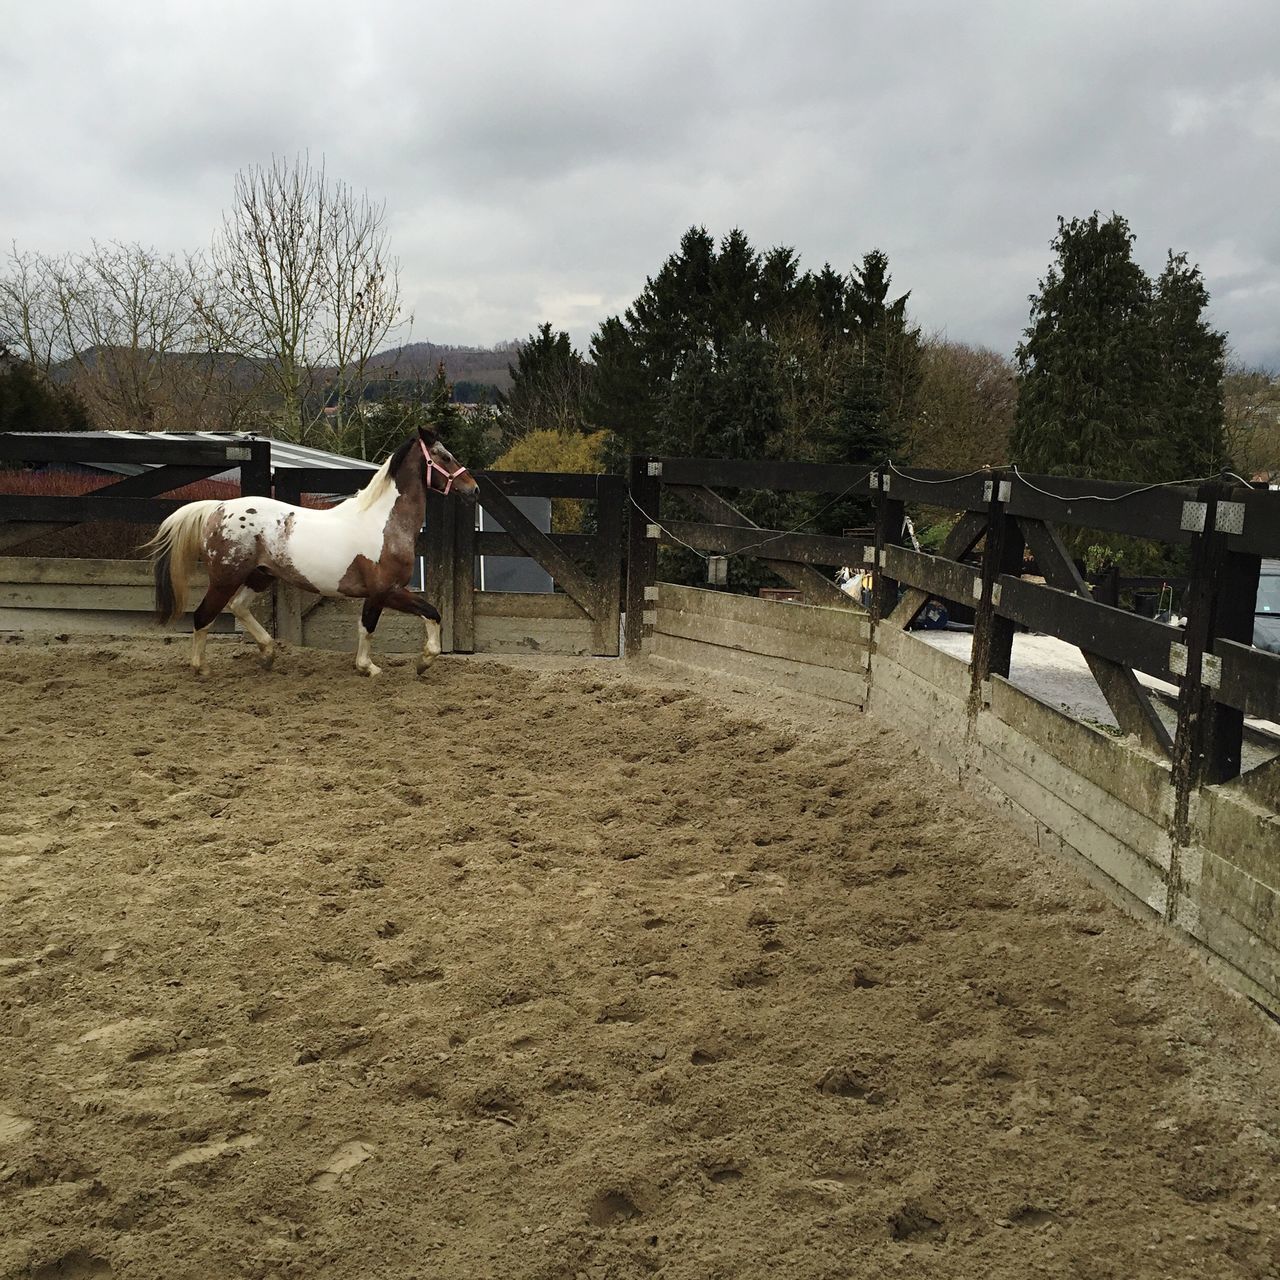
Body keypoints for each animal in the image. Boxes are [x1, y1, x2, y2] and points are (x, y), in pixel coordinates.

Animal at [140, 427, 478, 675]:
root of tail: (218, 507)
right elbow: (403, 619)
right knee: (203, 616)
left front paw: (405, 663)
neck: (383, 523)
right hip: (226, 578)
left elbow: (390, 622)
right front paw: (388, 665)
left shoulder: (383, 592)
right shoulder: (386, 591)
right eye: (445, 456)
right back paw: (202, 669)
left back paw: (268, 654)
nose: (473, 488)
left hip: (260, 576)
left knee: (238, 607)